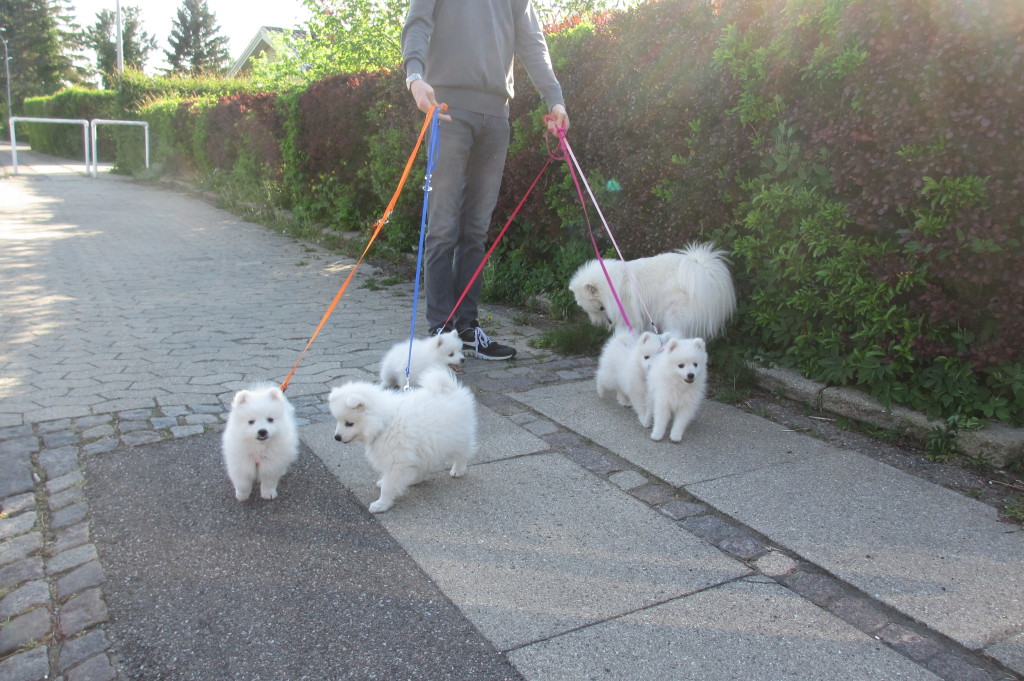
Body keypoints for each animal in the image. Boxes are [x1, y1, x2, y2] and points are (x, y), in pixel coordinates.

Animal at [329, 366, 477, 513]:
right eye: (338, 421)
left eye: (349, 423)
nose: (337, 437)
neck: (383, 422)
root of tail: (452, 390)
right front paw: (383, 486)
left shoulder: (396, 459)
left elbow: (388, 485)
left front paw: (381, 504)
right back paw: (415, 479)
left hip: (456, 437)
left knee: (462, 453)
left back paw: (458, 470)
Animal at [569, 242, 736, 340]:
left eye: (601, 308)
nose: (609, 321)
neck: (613, 285)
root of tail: (702, 270)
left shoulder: (629, 318)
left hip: (673, 313)